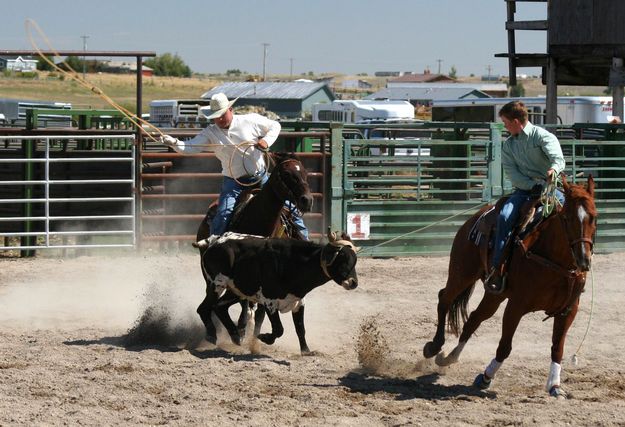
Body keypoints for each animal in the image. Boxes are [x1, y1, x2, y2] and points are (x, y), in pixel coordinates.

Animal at [195, 152, 314, 352]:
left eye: (305, 172)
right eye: (286, 174)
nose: (307, 200)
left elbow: (260, 312)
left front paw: (255, 338)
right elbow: (247, 305)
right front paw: (243, 329)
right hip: (211, 276)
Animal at [422, 174, 596, 398]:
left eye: (593, 217)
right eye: (566, 218)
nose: (584, 260)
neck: (554, 261)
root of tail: (477, 216)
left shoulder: (568, 310)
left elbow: (558, 348)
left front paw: (555, 386)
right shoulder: (516, 306)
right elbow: (505, 347)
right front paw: (485, 377)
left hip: (495, 294)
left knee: (474, 319)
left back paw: (449, 357)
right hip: (462, 272)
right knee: (444, 299)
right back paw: (434, 347)